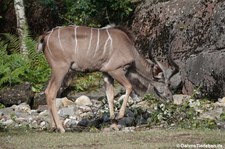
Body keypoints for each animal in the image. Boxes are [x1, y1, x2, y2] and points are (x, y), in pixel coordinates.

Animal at [37, 24, 179, 133]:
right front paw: (120, 116)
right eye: (167, 84)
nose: (171, 99)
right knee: (51, 92)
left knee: (47, 91)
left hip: (56, 70)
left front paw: (114, 125)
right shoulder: (115, 70)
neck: (129, 49)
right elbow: (129, 87)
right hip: (61, 69)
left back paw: (53, 127)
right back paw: (61, 128)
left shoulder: (106, 74)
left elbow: (110, 97)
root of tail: (46, 36)